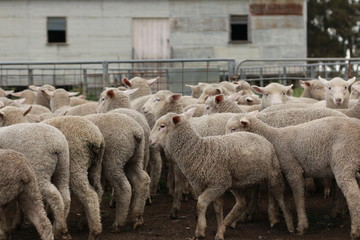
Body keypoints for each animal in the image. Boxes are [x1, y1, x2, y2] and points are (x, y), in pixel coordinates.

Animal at [148, 109, 294, 240]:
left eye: (162, 126)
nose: (149, 141)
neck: (198, 151)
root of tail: (261, 137)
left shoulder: (217, 184)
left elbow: (201, 203)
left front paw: (200, 231)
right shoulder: (208, 185)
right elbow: (217, 208)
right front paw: (219, 231)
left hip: (273, 174)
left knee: (280, 198)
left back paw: (288, 224)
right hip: (235, 183)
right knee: (242, 202)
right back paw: (228, 223)